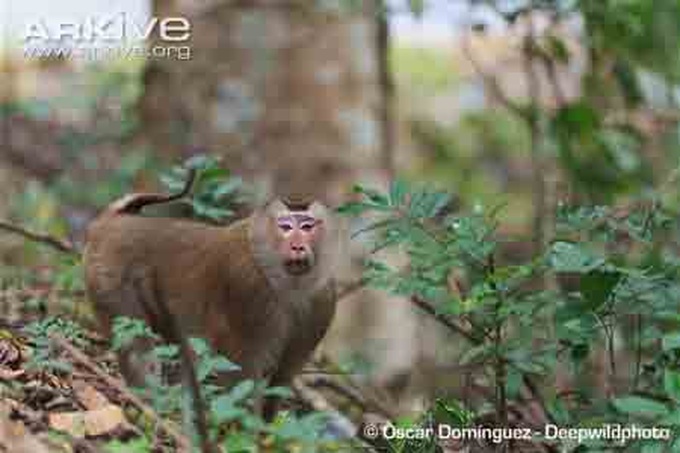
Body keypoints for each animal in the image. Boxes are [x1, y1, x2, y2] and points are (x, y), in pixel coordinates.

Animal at [83, 174, 339, 416]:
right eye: (285, 227)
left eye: (307, 227)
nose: (298, 247)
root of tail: (112, 221)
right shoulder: (248, 292)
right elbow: (241, 370)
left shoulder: (322, 303)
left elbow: (282, 377)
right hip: (110, 278)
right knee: (134, 342)